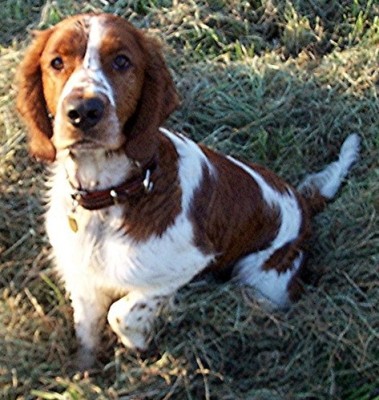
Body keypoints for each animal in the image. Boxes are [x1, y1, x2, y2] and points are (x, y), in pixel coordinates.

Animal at [16, 12, 360, 368]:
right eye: (56, 62)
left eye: (122, 61)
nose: (83, 112)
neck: (111, 196)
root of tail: (302, 202)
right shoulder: (84, 280)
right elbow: (88, 334)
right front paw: (86, 371)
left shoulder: (186, 265)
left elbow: (122, 312)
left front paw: (140, 343)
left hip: (262, 281)